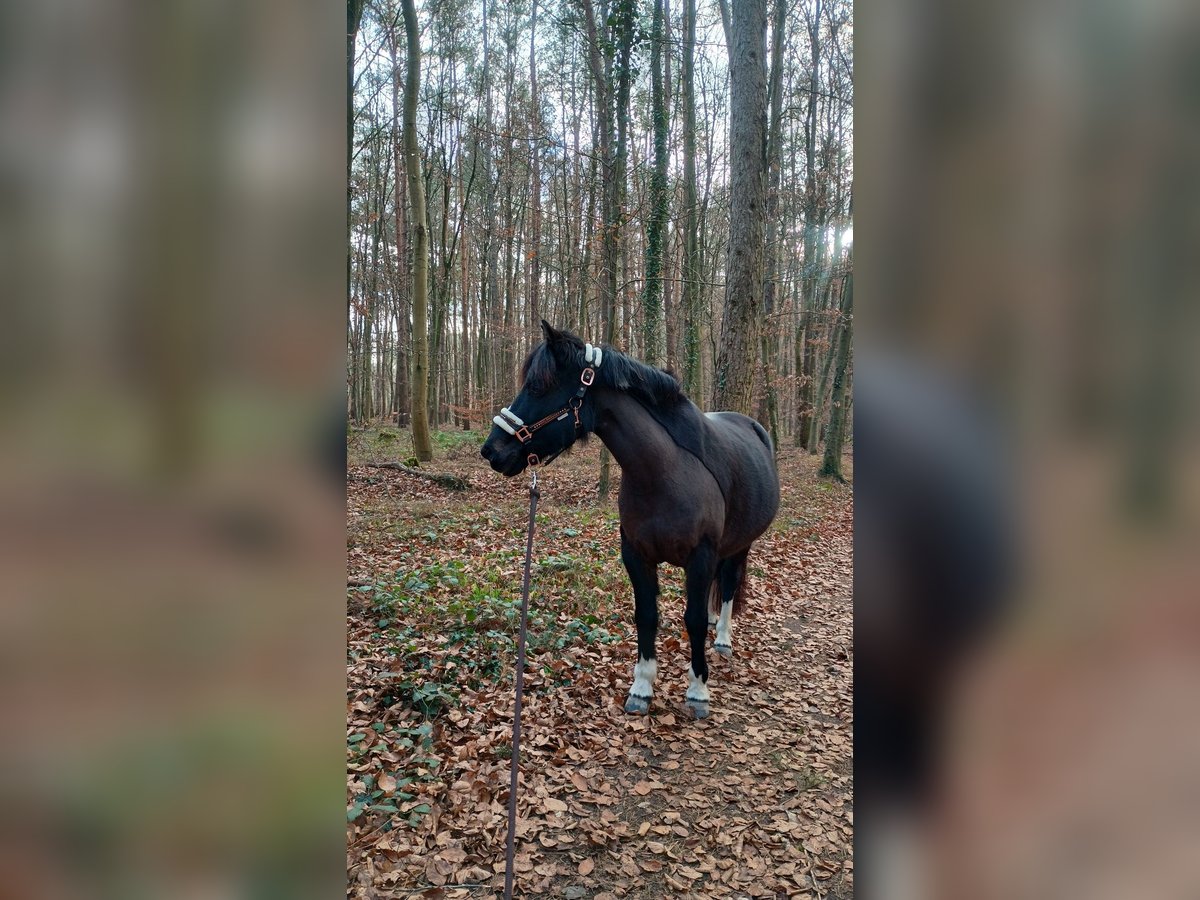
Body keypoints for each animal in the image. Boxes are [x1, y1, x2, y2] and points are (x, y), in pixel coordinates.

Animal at [482, 321, 782, 720]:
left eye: (537, 386)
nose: (492, 451)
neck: (664, 473)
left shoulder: (700, 558)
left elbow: (693, 619)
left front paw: (698, 690)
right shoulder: (636, 555)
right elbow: (647, 616)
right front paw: (641, 687)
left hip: (741, 545)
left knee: (730, 585)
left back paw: (722, 639)